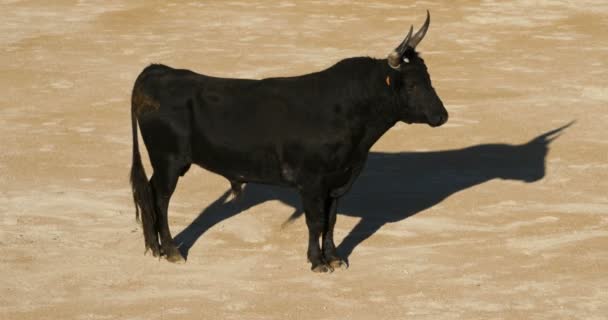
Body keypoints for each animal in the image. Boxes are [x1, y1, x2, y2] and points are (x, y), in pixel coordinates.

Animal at [129, 13, 446, 272]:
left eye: (429, 78)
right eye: (412, 85)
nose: (442, 115)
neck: (350, 109)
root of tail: (157, 71)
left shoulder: (340, 180)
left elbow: (331, 219)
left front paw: (334, 258)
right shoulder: (312, 181)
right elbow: (315, 220)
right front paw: (317, 262)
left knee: (150, 195)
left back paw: (156, 248)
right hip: (168, 161)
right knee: (160, 198)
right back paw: (172, 251)